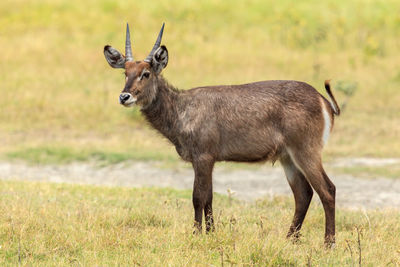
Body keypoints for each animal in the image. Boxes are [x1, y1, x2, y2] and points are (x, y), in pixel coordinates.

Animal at [103, 24, 340, 248]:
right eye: (125, 72)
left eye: (146, 73)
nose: (124, 96)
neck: (181, 109)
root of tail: (322, 99)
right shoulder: (207, 160)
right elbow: (208, 197)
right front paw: (211, 233)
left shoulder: (203, 156)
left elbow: (198, 197)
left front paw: (196, 234)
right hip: (287, 157)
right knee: (303, 194)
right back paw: (290, 239)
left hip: (305, 151)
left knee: (327, 190)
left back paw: (328, 243)